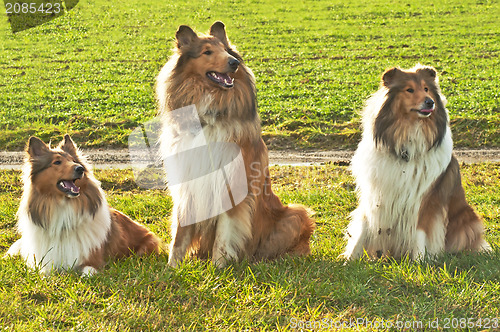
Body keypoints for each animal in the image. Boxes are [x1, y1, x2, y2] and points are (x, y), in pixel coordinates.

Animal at [5, 135, 162, 274]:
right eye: (57, 162)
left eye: (73, 160)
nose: (79, 168)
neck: (63, 207)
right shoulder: (45, 263)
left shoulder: (93, 261)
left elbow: (88, 271)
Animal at [156, 21, 314, 268]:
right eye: (207, 52)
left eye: (226, 50)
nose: (234, 63)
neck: (209, 114)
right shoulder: (187, 185)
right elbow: (180, 236)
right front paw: (172, 268)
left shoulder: (232, 185)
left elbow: (224, 234)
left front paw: (218, 268)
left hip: (296, 214)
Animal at [342, 65, 490, 260]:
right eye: (409, 90)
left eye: (426, 89)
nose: (430, 102)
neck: (406, 144)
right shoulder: (375, 195)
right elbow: (362, 230)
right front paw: (349, 260)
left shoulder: (425, 200)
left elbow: (419, 232)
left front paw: (419, 261)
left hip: (467, 218)